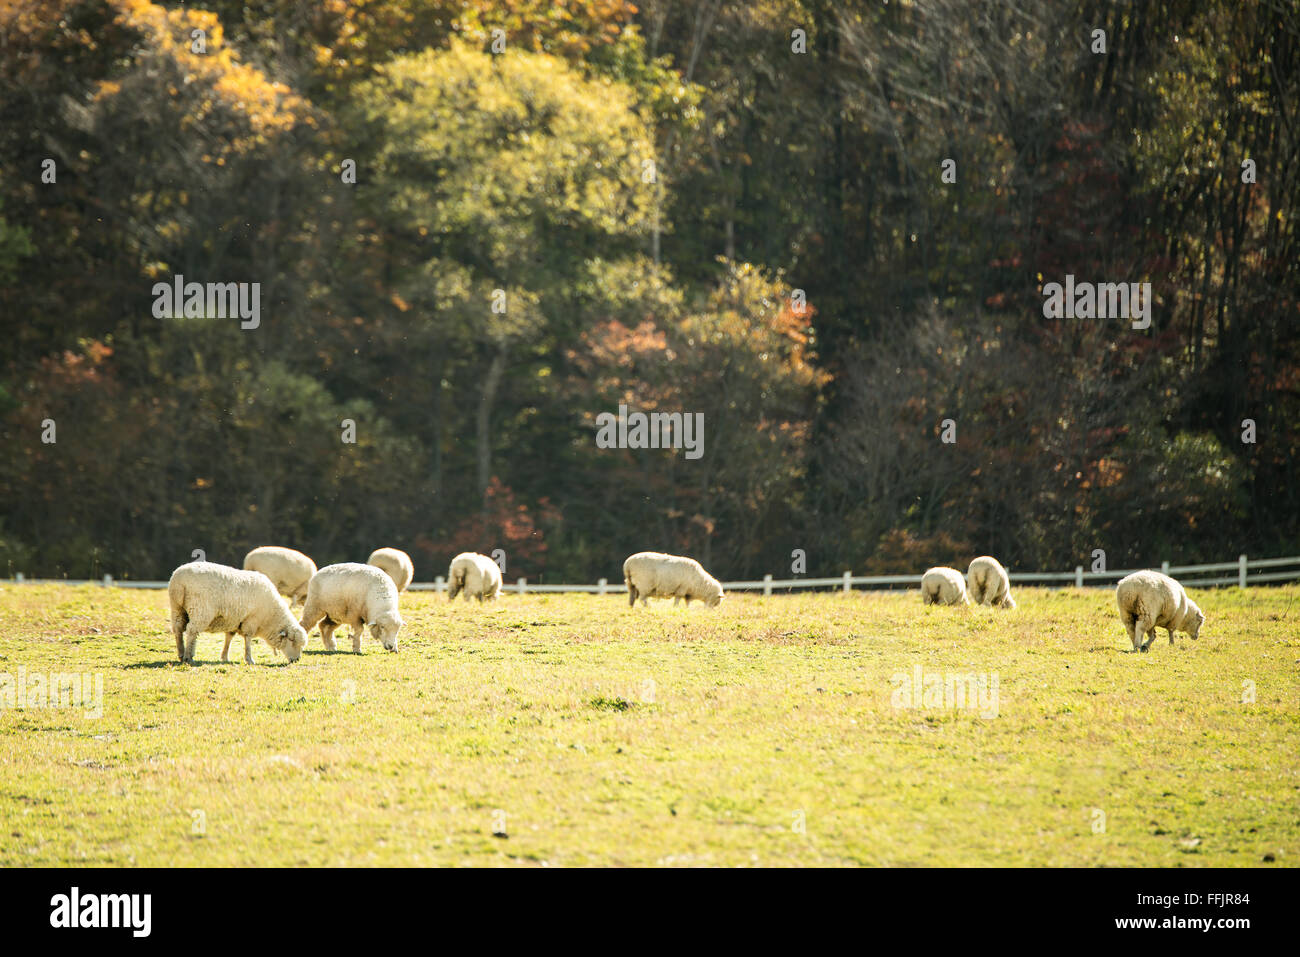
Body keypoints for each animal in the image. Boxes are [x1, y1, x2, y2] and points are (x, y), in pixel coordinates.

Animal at [167, 561, 308, 665]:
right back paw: (188, 657)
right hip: (201, 609)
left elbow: (229, 638)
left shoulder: (234, 620)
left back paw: (181, 653)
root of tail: (179, 581)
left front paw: (224, 657)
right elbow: (248, 639)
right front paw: (249, 659)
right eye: (292, 641)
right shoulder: (251, 620)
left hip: (177, 608)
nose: (297, 660)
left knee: (178, 629)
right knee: (192, 631)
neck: (270, 617)